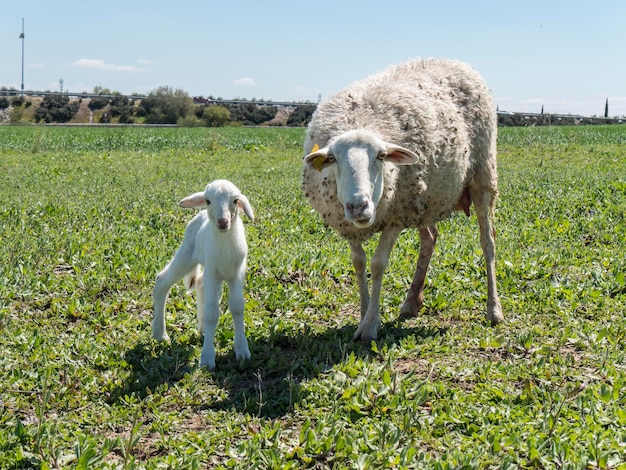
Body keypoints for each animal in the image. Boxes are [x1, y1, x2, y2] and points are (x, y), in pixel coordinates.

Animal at [151, 179, 254, 368]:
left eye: (236, 200)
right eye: (208, 200)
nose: (223, 222)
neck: (226, 246)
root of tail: (201, 215)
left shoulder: (237, 272)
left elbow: (237, 307)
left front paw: (242, 350)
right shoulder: (213, 272)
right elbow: (212, 313)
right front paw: (207, 358)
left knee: (199, 283)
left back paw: (202, 328)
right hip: (187, 254)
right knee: (162, 281)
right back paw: (160, 333)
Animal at [302, 59, 502, 346]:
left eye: (381, 156)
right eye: (333, 159)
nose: (358, 206)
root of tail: (455, 61)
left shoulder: (395, 216)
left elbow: (378, 264)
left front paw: (370, 325)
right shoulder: (347, 224)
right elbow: (359, 264)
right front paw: (364, 313)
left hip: (482, 177)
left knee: (488, 243)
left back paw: (493, 310)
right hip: (425, 199)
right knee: (430, 238)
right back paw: (411, 302)